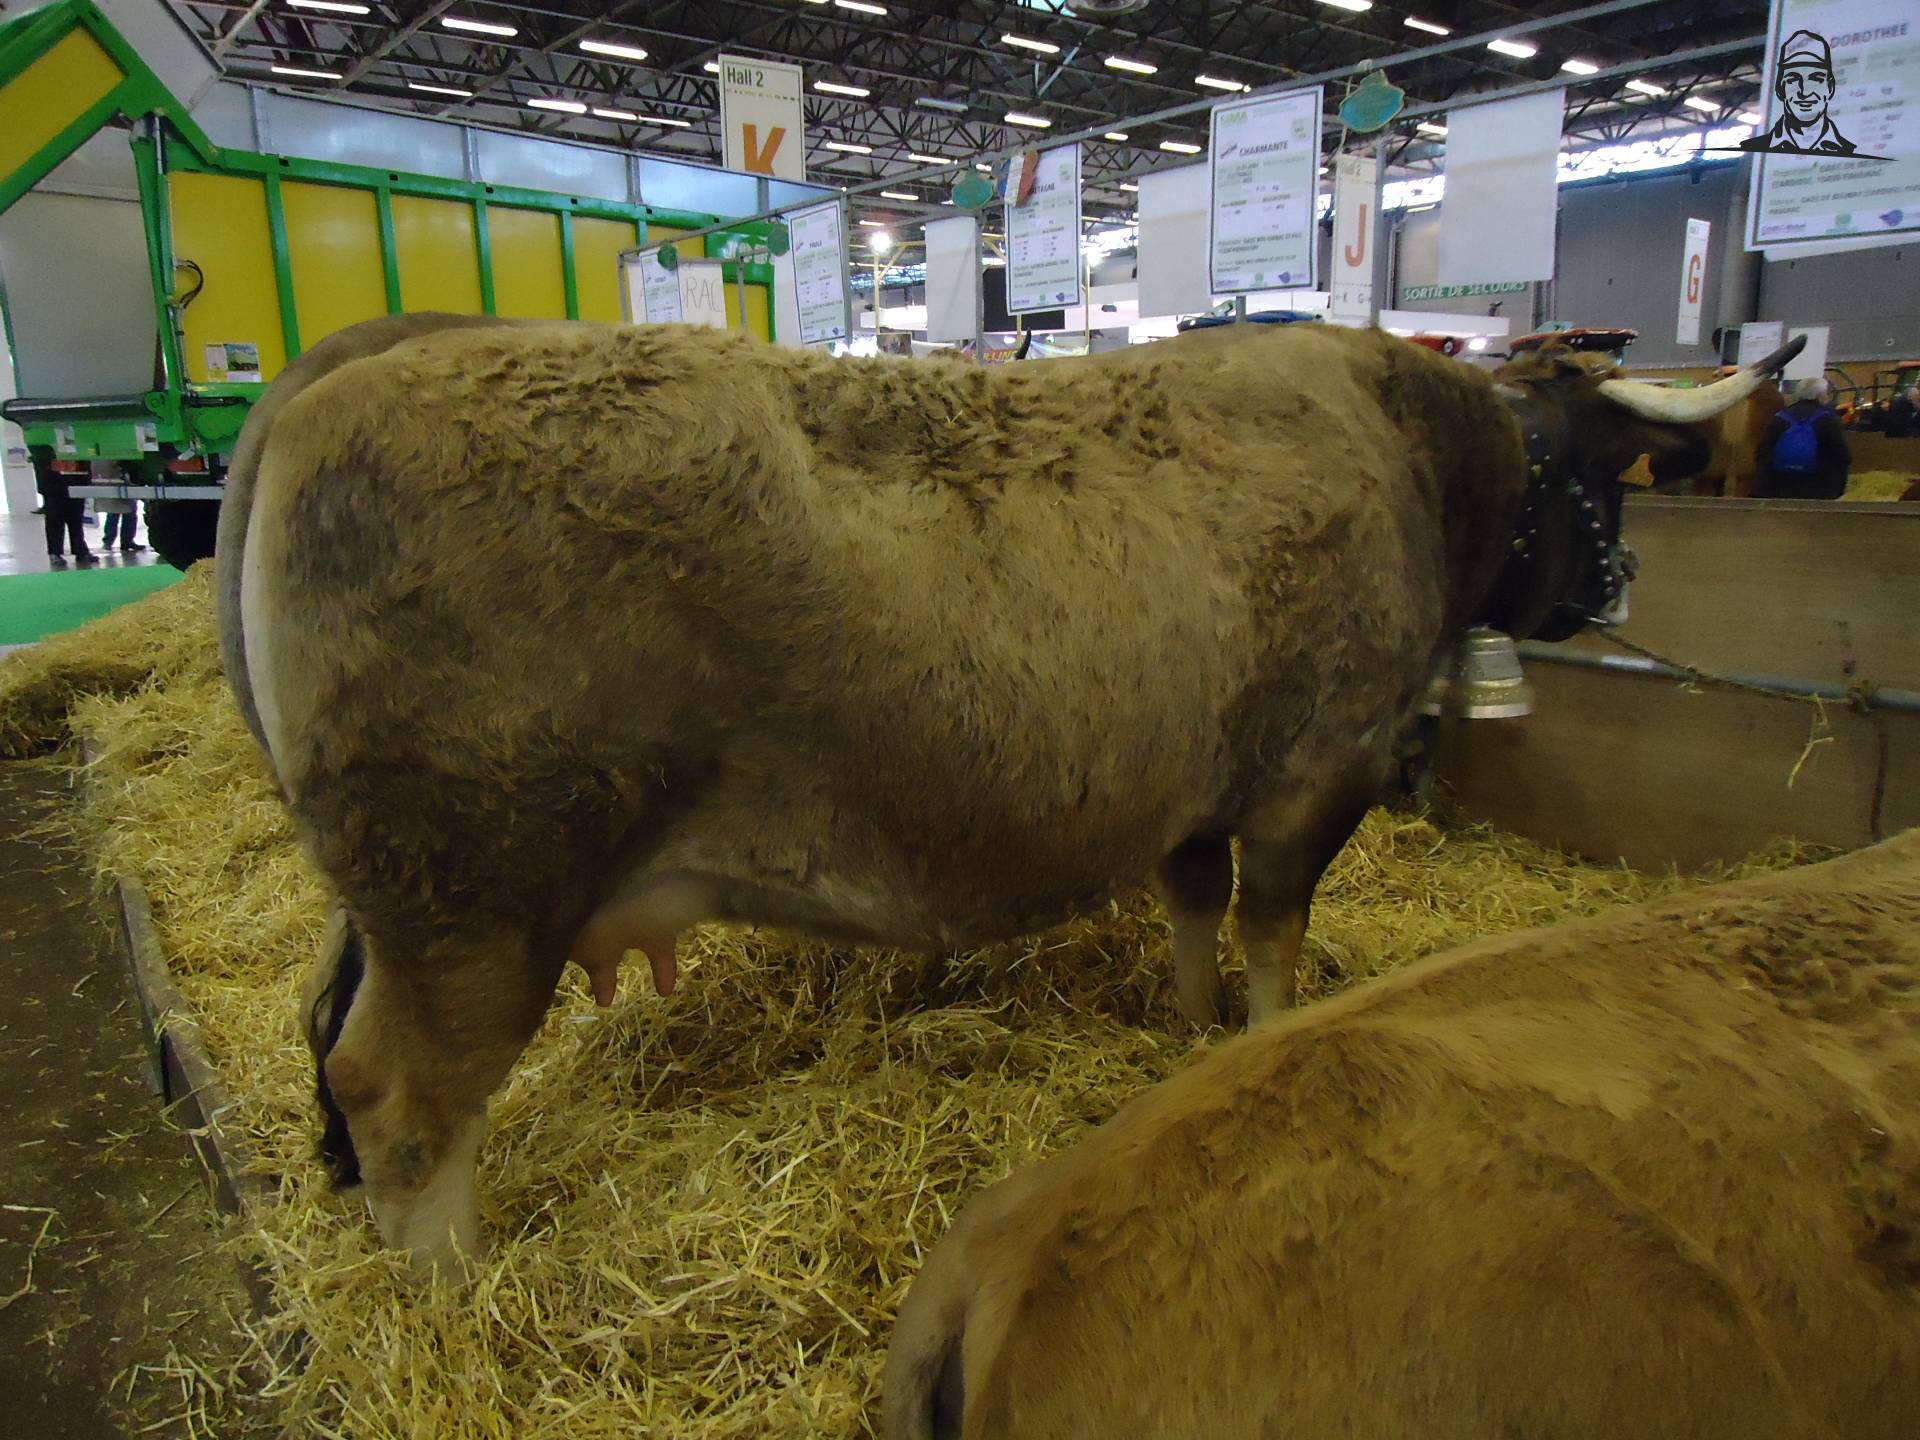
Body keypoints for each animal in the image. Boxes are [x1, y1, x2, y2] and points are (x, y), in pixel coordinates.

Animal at [215, 314, 1802, 1265]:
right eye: (1606, 471)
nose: (1622, 575)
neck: (1403, 448)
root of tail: (372, 355)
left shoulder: (1196, 789)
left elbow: (1195, 907)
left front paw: (1185, 1027)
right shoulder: (1315, 774)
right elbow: (1277, 936)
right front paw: (1258, 1044)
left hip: (388, 893)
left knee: (326, 1027)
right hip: (474, 897)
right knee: (401, 1091)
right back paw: (454, 1289)